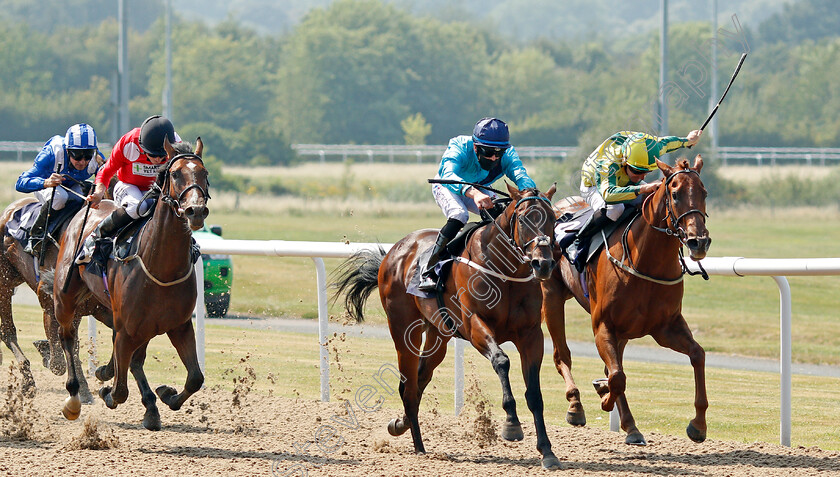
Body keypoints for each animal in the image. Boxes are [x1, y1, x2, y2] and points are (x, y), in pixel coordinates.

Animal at [0, 195, 111, 400]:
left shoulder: (100, 309)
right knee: (7, 331)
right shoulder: (50, 305)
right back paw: (28, 381)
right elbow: (58, 362)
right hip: (5, 284)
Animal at [53, 138, 209, 428]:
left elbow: (195, 378)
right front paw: (107, 390)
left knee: (135, 360)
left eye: (204, 173)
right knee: (66, 336)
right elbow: (120, 391)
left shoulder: (179, 326)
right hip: (65, 298)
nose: (195, 210)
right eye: (175, 174)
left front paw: (166, 395)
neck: (161, 267)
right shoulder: (128, 329)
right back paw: (74, 398)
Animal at [334, 182, 564, 468]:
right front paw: (511, 424)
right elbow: (501, 360)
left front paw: (547, 451)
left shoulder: (531, 335)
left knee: (419, 380)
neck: (504, 272)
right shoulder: (475, 325)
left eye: (553, 218)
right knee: (408, 386)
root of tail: (395, 251)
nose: (543, 264)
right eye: (523, 219)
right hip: (403, 331)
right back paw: (419, 447)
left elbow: (534, 394)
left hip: (438, 336)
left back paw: (401, 424)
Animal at [544, 158, 708, 444]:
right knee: (561, 354)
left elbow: (698, 355)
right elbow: (617, 376)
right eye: (675, 194)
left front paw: (698, 425)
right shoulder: (603, 325)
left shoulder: (666, 328)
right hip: (552, 295)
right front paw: (603, 396)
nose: (698, 241)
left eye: (704, 193)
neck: (646, 261)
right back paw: (576, 406)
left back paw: (630, 426)